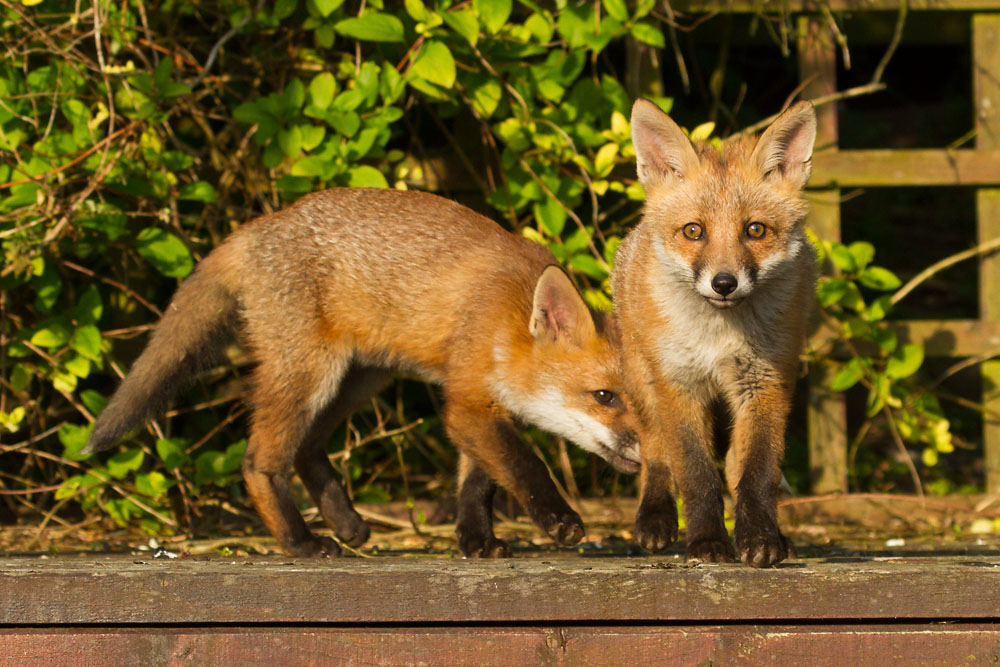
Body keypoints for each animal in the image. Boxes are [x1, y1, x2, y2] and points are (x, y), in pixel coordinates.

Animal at [81, 187, 641, 558]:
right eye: (605, 396)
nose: (650, 452)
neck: (509, 319)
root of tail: (263, 223)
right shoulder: (467, 400)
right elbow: (524, 466)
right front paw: (559, 521)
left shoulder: (482, 405)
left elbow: (477, 481)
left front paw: (476, 540)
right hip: (309, 375)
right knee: (260, 460)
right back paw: (300, 542)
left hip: (356, 381)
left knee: (307, 449)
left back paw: (346, 525)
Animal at [611, 100, 817, 568]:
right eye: (694, 231)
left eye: (755, 230)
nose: (724, 283)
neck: (720, 337)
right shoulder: (678, 385)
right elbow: (695, 472)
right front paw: (707, 542)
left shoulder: (766, 383)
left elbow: (758, 472)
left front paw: (760, 539)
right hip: (643, 381)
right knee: (655, 450)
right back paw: (655, 519)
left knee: (736, 463)